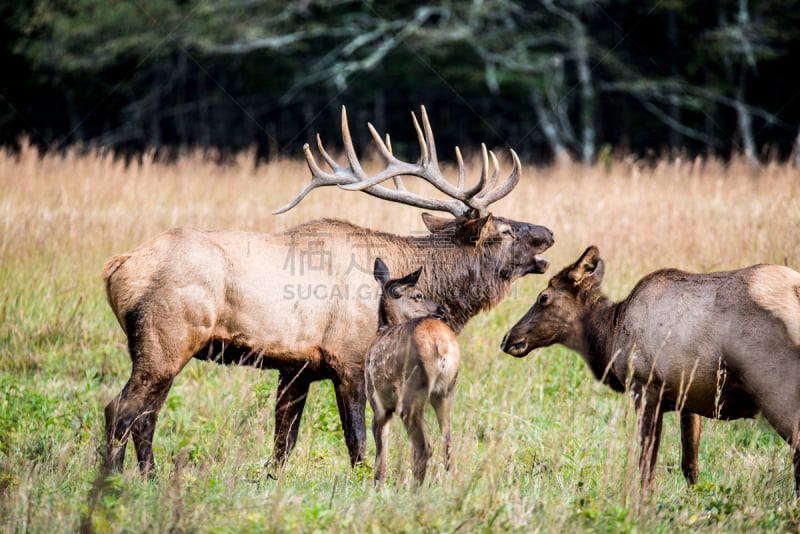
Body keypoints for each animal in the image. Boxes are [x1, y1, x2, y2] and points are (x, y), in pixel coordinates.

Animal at [366, 258, 460, 488]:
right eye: (419, 295)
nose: (441, 310)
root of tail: (441, 344)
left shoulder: (378, 402)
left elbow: (381, 452)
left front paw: (376, 487)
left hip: (412, 392)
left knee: (424, 447)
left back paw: (413, 492)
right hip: (446, 390)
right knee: (448, 445)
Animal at [504, 247, 800, 498]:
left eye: (543, 297)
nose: (508, 338)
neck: (610, 337)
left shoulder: (645, 389)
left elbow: (646, 465)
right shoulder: (689, 399)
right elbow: (690, 465)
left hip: (775, 388)